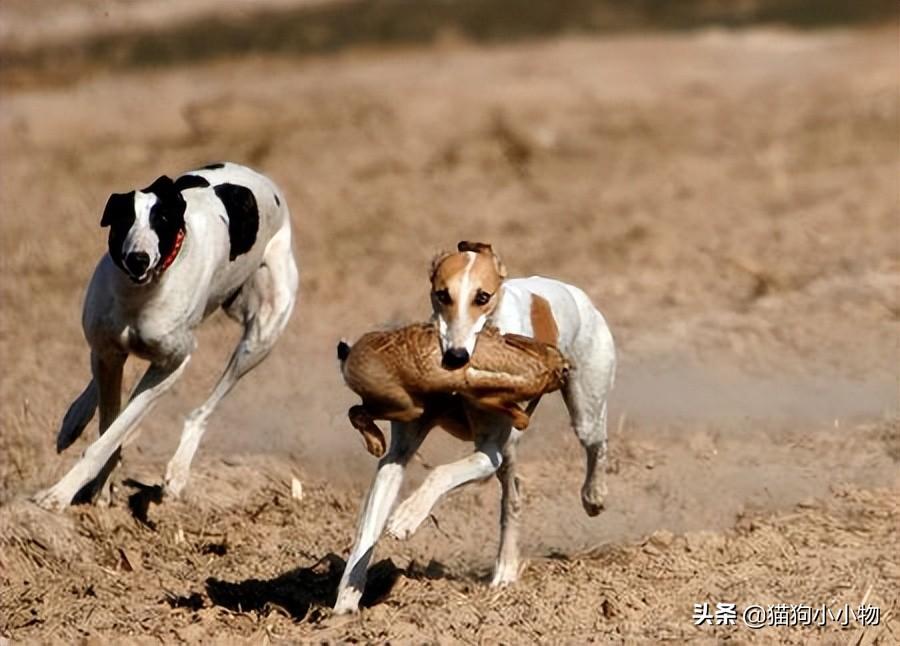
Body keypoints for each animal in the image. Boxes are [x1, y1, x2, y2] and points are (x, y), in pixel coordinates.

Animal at [32, 162, 298, 512]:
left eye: (162, 221)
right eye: (124, 220)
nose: (138, 259)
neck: (140, 296)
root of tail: (259, 177)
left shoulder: (171, 366)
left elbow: (112, 435)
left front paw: (59, 494)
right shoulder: (109, 353)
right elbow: (109, 425)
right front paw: (99, 487)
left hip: (261, 337)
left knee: (204, 410)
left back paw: (178, 472)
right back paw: (74, 419)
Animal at [334, 242, 616, 612]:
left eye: (482, 297)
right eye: (442, 294)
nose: (455, 357)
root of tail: (578, 294)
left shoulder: (488, 453)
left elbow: (441, 472)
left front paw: (406, 517)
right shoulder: (398, 455)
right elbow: (367, 527)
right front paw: (344, 605)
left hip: (584, 409)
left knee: (596, 444)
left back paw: (593, 496)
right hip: (511, 450)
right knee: (514, 495)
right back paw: (506, 570)